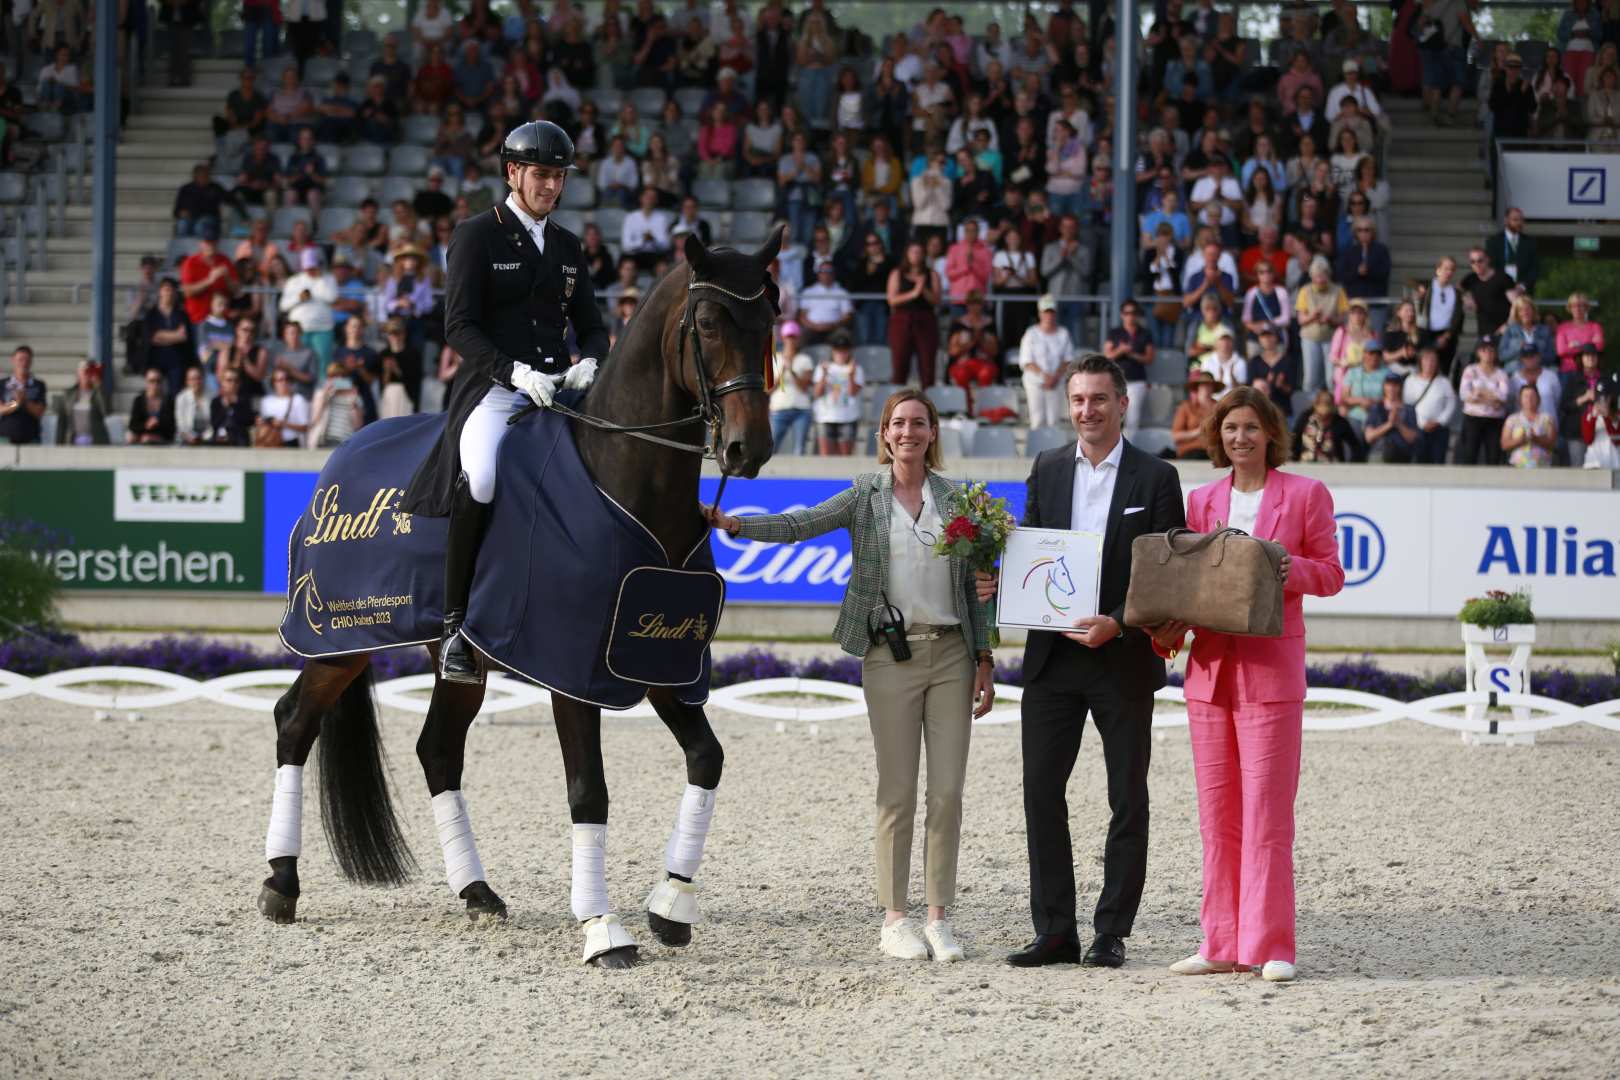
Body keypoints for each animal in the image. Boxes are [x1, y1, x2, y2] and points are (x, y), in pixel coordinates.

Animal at [255, 228, 780, 971]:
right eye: (706, 324)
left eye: (768, 323)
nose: (747, 447)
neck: (624, 480)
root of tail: (343, 451)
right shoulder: (571, 670)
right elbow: (589, 790)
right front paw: (603, 929)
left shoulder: (659, 662)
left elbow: (708, 760)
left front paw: (671, 905)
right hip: (340, 641)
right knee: (295, 722)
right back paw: (281, 883)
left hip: (459, 662)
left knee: (437, 751)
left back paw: (476, 891)